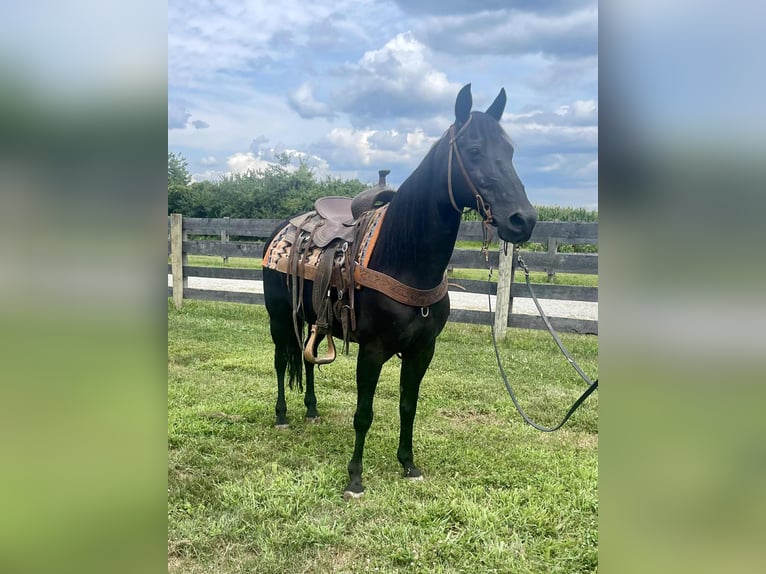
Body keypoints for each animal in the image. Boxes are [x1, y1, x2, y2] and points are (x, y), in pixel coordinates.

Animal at [262, 84, 537, 499]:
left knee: (309, 360)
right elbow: (364, 413)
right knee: (282, 361)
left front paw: (408, 464)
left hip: (315, 319)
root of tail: (285, 227)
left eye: (510, 150)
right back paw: (282, 416)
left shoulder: (423, 350)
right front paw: (355, 478)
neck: (403, 259)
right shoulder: (372, 351)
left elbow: (408, 405)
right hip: (279, 317)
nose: (524, 220)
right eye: (473, 150)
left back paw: (311, 410)